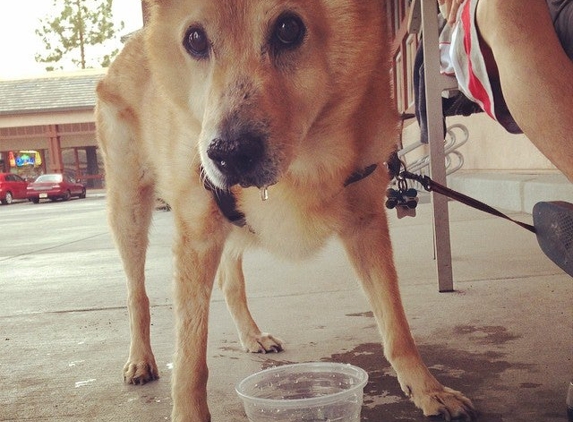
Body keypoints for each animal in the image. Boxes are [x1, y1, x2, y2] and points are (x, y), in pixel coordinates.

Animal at [97, 1, 474, 420]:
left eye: (288, 29)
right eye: (194, 39)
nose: (228, 154)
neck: (302, 165)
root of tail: (129, 47)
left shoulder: (365, 225)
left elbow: (395, 324)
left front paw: (427, 389)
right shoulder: (197, 239)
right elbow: (190, 357)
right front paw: (189, 413)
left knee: (230, 282)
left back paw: (251, 335)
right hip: (130, 211)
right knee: (137, 294)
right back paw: (140, 359)